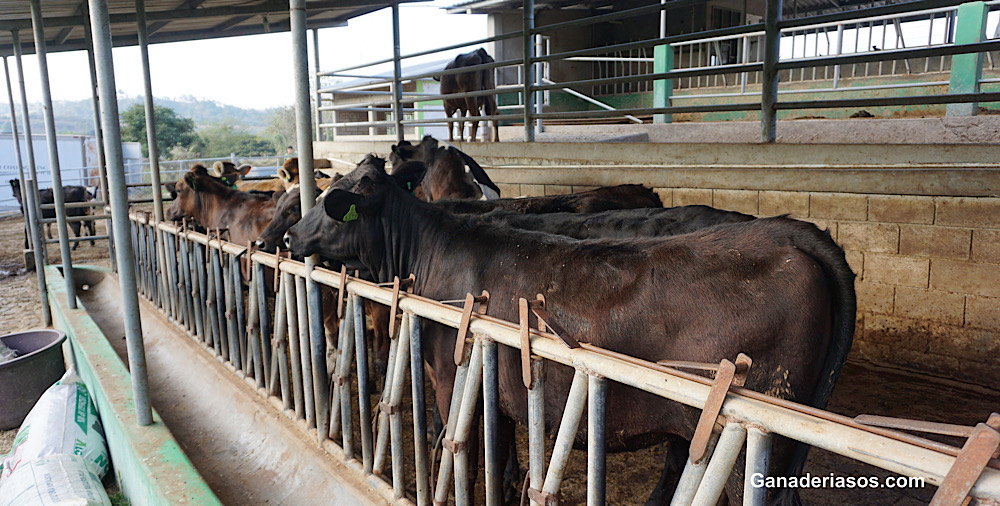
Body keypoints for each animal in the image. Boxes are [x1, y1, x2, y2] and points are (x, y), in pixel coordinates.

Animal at [288, 164, 860, 504]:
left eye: (331, 202)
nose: (291, 234)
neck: (433, 253)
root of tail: (788, 233)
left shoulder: (453, 379)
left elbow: (463, 457)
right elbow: (498, 459)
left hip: (752, 442)